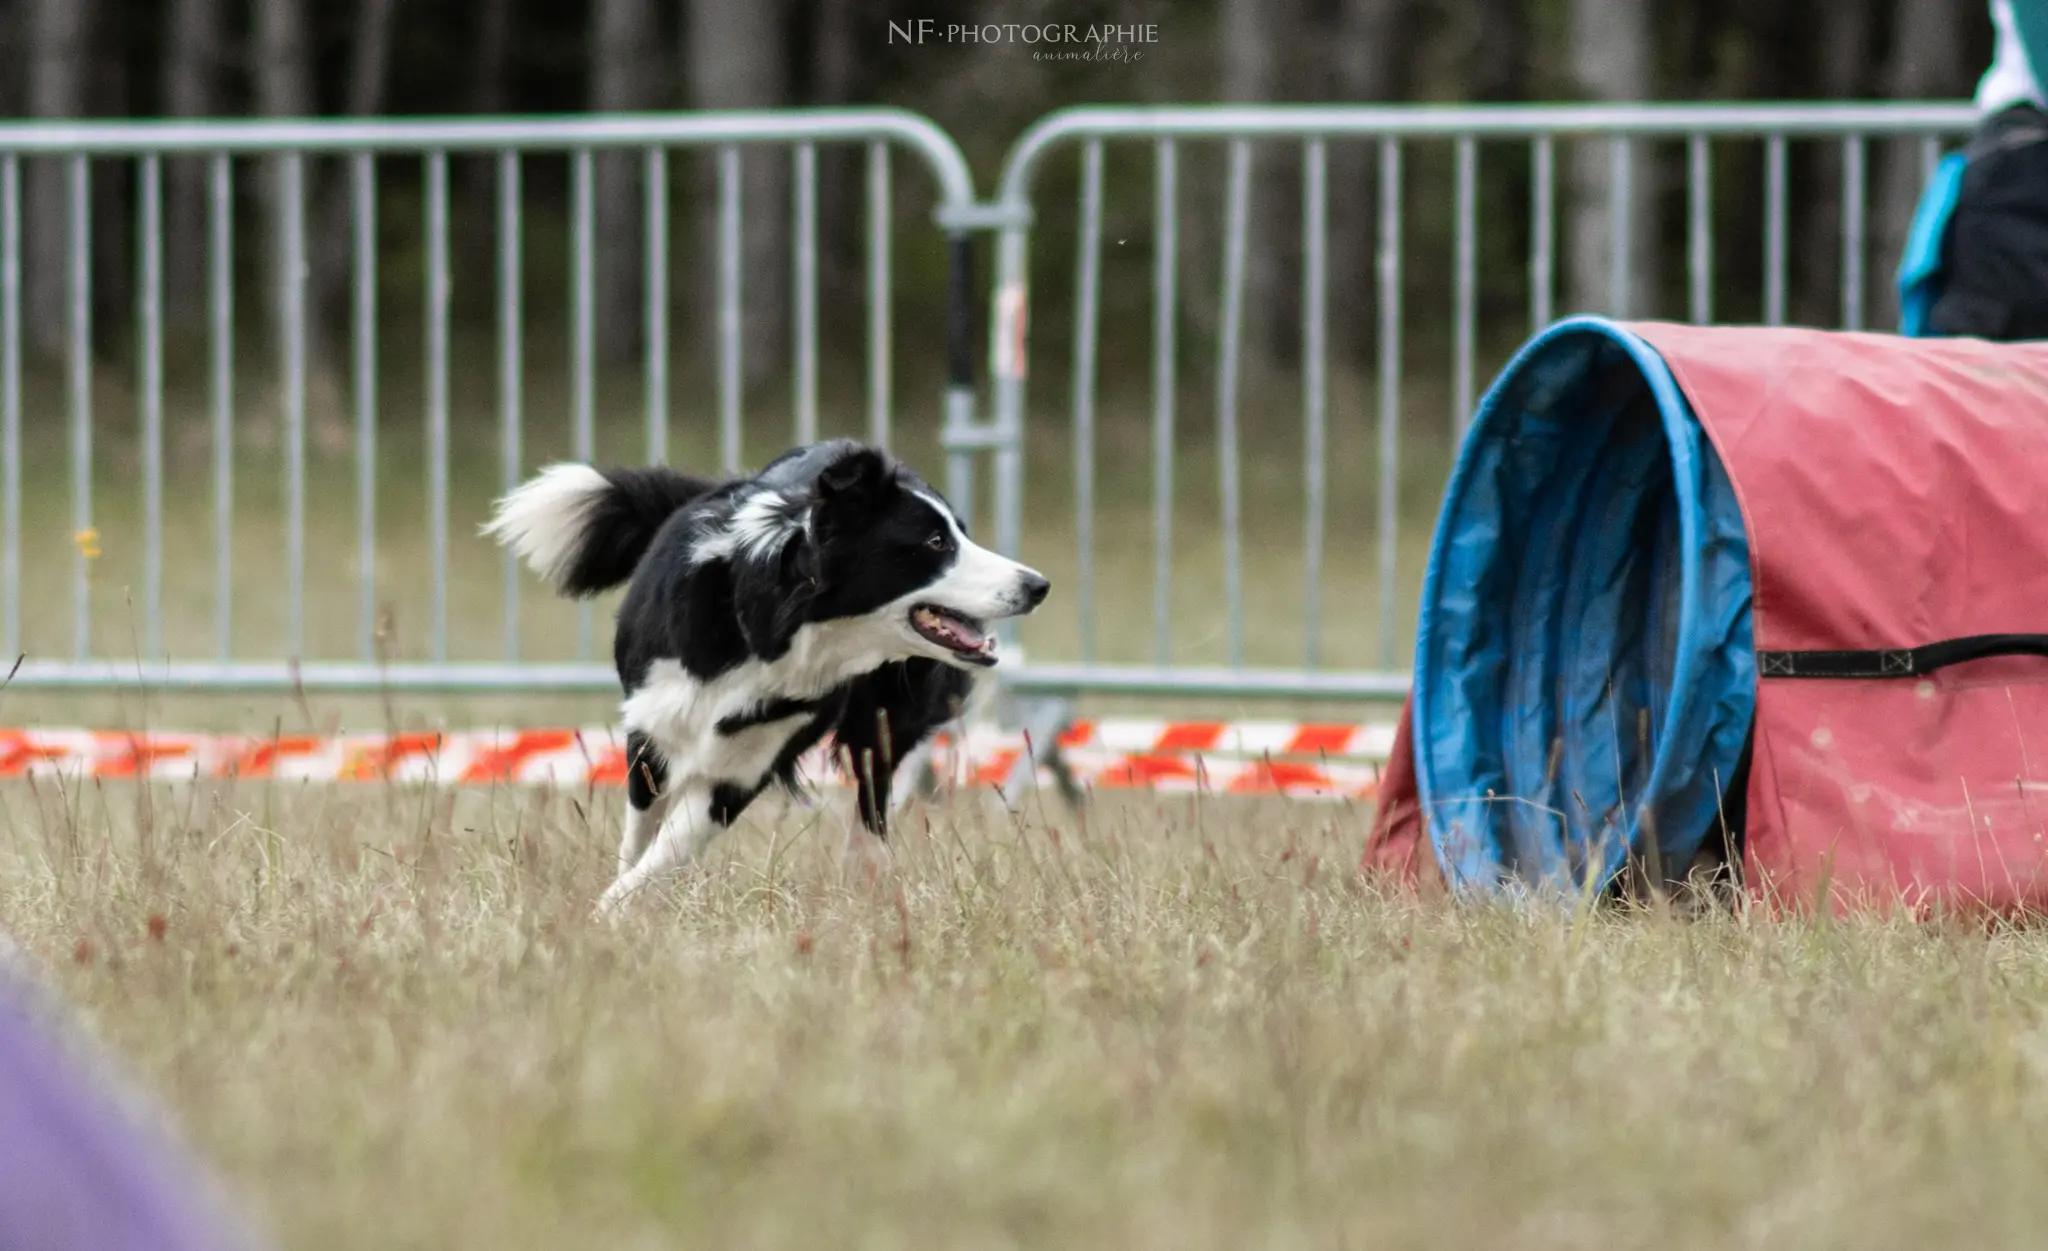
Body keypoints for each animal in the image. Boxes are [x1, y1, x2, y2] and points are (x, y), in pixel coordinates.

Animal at [481, 440, 1048, 909]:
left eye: (960, 534)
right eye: (934, 542)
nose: (1038, 585)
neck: (768, 622)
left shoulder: (742, 766)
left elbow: (667, 851)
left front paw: (609, 915)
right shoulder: (653, 728)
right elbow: (642, 837)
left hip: (888, 713)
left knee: (873, 793)